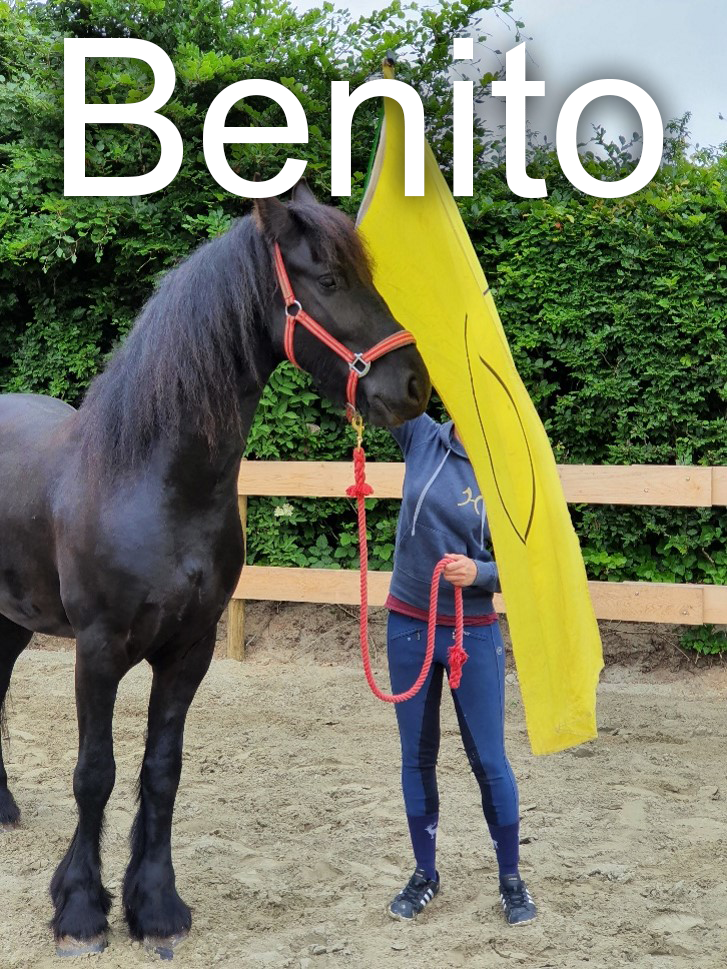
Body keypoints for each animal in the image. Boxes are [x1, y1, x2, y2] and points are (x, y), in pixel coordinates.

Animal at [0, 180, 431, 957]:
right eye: (328, 280)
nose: (413, 384)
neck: (151, 482)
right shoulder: (97, 650)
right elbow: (95, 772)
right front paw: (79, 911)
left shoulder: (189, 649)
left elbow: (160, 772)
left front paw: (156, 906)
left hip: (12, 621)